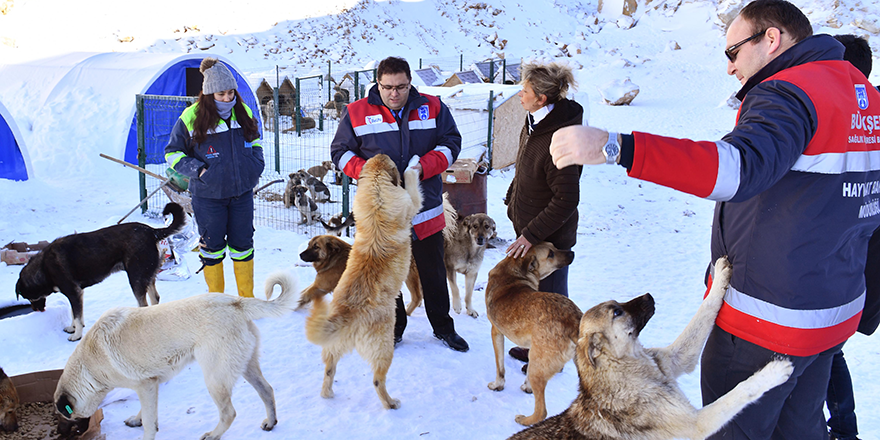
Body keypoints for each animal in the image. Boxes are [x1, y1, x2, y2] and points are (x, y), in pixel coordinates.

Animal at [306, 154, 422, 410]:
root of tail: (348, 314)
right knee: (378, 381)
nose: (382, 153)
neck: (376, 192)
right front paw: (414, 163)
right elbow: (411, 181)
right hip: (384, 348)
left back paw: (327, 394)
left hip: (333, 346)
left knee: (329, 370)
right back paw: (391, 403)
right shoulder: (412, 203)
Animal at [484, 241, 580, 426]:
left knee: (542, 411)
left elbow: (500, 367)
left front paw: (497, 385)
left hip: (538, 367)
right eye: (551, 251)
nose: (572, 253)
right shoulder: (532, 345)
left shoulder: (496, 331)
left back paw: (525, 420)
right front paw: (527, 387)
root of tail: (573, 319)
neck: (513, 272)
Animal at [506, 256, 796, 438]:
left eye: (617, 304)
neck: (629, 366)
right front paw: (773, 373)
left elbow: (706, 311)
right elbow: (739, 392)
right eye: (617, 312)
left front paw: (721, 277)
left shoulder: (678, 359)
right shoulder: (696, 423)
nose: (649, 296)